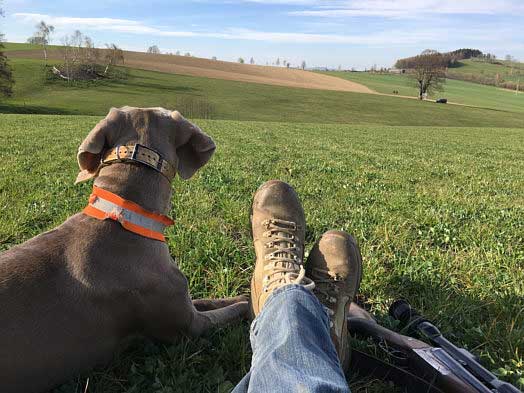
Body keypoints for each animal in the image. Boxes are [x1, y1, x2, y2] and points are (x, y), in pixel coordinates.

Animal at [0, 107, 250, 392]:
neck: (123, 216)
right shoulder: (189, 327)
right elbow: (231, 311)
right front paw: (250, 303)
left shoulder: (185, 303)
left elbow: (211, 300)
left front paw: (242, 295)